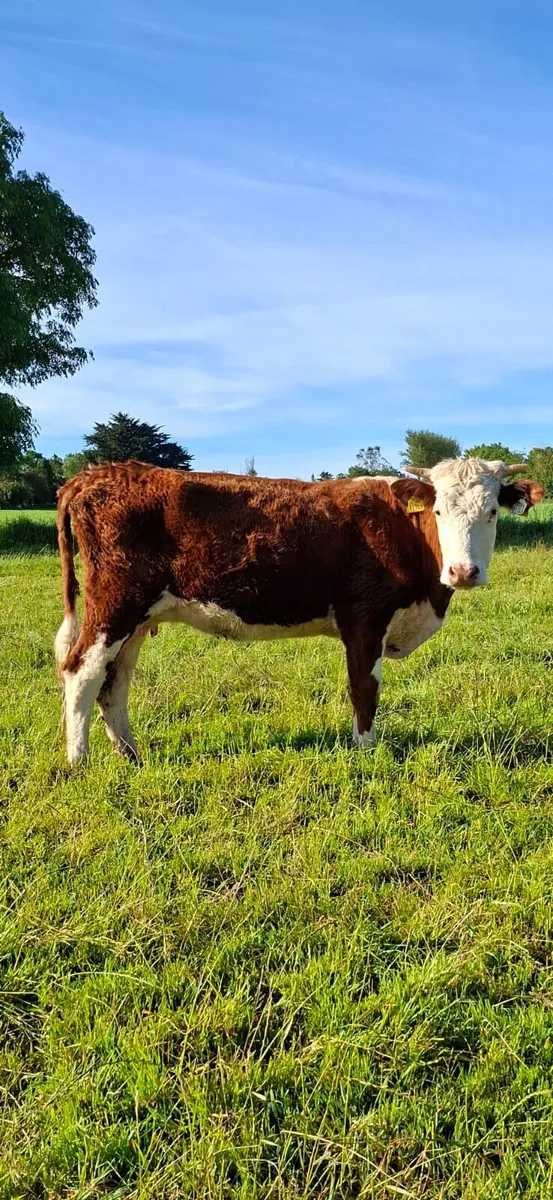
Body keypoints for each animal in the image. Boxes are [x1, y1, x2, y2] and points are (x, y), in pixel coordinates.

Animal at [54, 458, 543, 764]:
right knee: (82, 671)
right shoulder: (364, 618)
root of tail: (100, 473)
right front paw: (367, 754)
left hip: (138, 617)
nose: (463, 571)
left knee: (114, 683)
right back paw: (80, 762)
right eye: (438, 510)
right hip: (114, 604)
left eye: (492, 512)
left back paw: (132, 756)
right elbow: (364, 689)